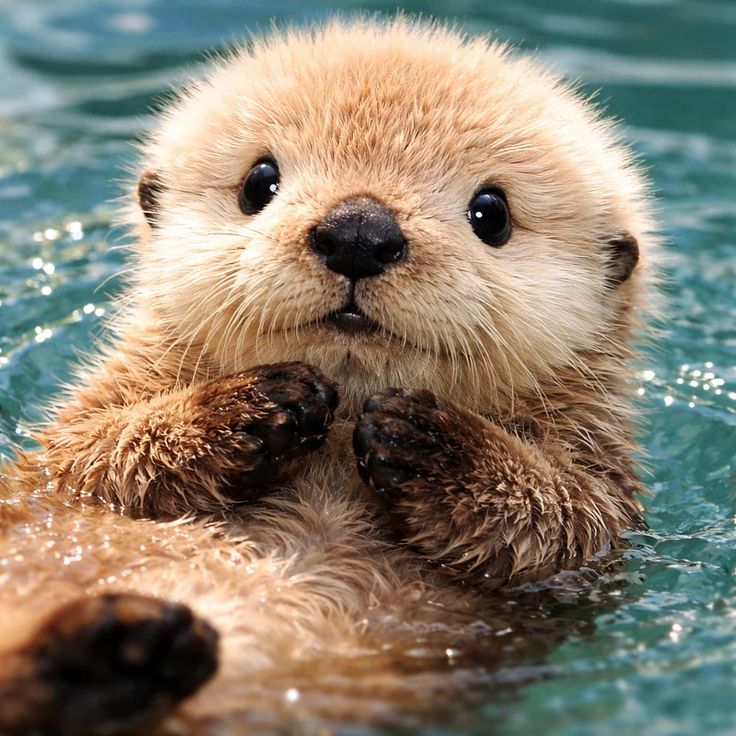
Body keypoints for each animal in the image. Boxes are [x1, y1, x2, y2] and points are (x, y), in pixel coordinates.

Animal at [0, 18, 656, 736]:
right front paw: (259, 407)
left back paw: (125, 657)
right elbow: (95, 454)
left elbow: (555, 516)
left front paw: (423, 442)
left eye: (492, 213)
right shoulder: (69, 453)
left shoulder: (597, 516)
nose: (359, 231)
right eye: (259, 182)